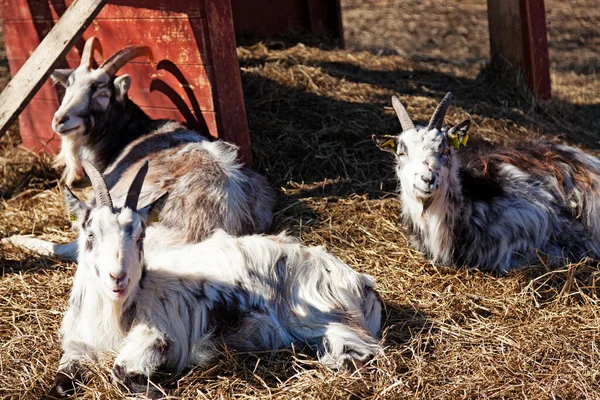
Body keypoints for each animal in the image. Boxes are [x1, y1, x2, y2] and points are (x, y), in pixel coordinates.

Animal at [48, 161, 384, 398]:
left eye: (141, 235)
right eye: (90, 234)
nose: (118, 277)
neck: (116, 316)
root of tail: (361, 282)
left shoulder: (158, 333)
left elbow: (120, 372)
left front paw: (156, 387)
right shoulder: (77, 344)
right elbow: (60, 385)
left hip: (324, 318)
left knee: (364, 351)